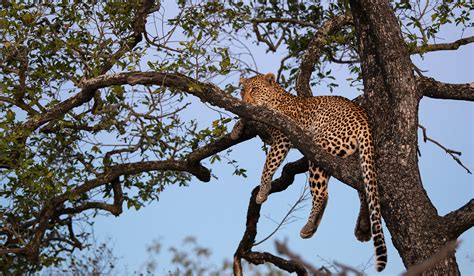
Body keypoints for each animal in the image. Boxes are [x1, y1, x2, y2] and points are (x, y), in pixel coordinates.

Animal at [239, 73, 386, 272]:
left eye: (254, 89)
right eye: (242, 90)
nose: (244, 101)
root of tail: (364, 119)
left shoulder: (282, 137)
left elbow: (268, 164)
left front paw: (262, 192)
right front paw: (238, 128)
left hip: (320, 146)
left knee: (322, 193)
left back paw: (309, 227)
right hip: (355, 158)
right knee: (363, 188)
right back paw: (363, 226)